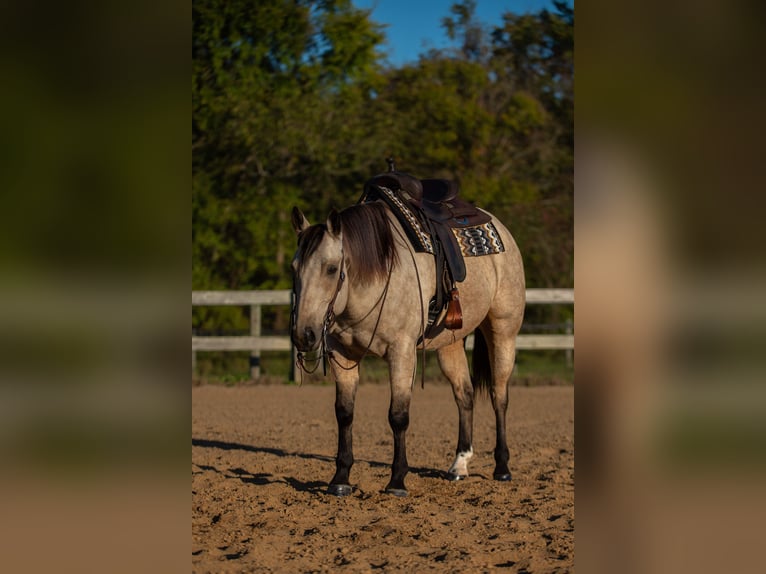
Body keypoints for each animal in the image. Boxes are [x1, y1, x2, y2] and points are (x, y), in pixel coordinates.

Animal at [290, 199, 525, 497]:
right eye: (293, 268)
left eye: (332, 268)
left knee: (499, 396)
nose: (304, 335)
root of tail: (502, 230)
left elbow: (398, 416)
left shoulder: (401, 352)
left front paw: (397, 480)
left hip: (503, 332)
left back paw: (502, 467)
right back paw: (459, 465)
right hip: (450, 344)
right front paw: (340, 478)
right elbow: (344, 413)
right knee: (465, 394)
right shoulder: (342, 355)